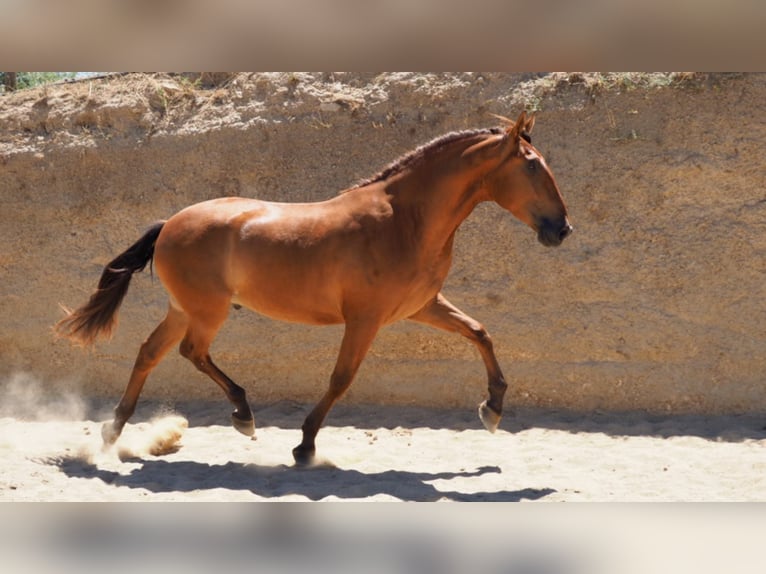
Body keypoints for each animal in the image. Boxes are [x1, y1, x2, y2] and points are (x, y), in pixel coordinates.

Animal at [55, 110, 568, 466]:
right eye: (532, 167)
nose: (562, 229)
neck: (405, 220)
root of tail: (169, 224)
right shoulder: (365, 319)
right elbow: (341, 378)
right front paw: (304, 445)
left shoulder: (421, 307)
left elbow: (480, 332)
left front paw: (493, 407)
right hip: (206, 311)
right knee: (191, 352)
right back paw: (243, 416)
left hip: (184, 308)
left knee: (150, 352)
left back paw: (113, 432)